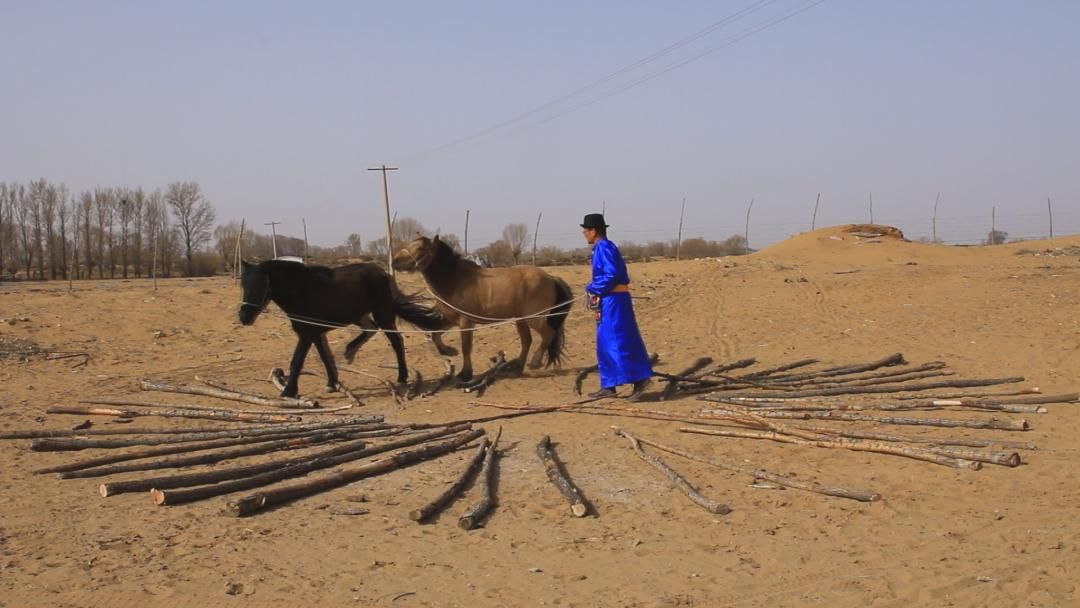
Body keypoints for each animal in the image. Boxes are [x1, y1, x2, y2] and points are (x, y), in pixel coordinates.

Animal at [238, 259, 445, 398]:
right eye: (243, 285)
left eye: (262, 284)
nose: (244, 317)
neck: (301, 291)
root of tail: (383, 273)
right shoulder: (315, 332)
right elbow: (325, 357)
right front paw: (332, 383)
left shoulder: (306, 334)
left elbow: (297, 361)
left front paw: (289, 391)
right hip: (360, 314)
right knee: (370, 329)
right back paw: (349, 352)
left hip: (383, 313)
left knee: (396, 341)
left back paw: (401, 377)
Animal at [392, 235, 574, 381]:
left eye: (420, 248)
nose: (394, 261)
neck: (456, 281)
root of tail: (551, 278)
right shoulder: (450, 319)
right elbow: (435, 334)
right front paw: (449, 351)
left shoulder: (465, 322)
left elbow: (466, 348)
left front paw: (465, 374)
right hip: (520, 320)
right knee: (527, 341)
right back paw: (517, 368)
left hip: (534, 318)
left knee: (548, 334)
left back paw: (534, 362)